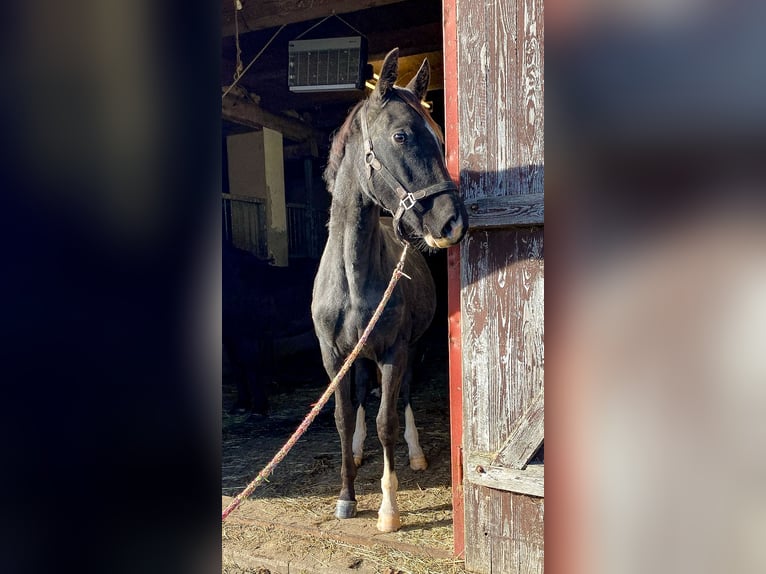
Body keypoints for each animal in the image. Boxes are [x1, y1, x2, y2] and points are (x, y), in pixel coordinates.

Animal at [310, 49, 468, 536]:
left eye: (439, 135)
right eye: (401, 135)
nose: (453, 222)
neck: (353, 277)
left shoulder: (395, 350)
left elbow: (388, 421)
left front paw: (388, 507)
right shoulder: (334, 357)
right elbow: (343, 418)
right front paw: (346, 496)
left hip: (414, 348)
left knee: (406, 396)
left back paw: (415, 454)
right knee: (364, 394)